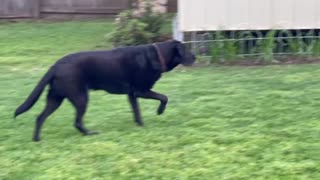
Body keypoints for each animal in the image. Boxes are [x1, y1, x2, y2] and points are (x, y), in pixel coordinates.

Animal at [14, 40, 195, 141]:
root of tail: (55, 66)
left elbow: (137, 112)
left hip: (55, 98)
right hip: (80, 97)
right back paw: (90, 134)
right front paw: (159, 112)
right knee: (77, 121)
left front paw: (141, 125)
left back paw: (37, 139)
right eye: (186, 51)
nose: (195, 57)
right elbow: (164, 97)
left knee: (40, 117)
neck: (158, 55)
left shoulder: (132, 95)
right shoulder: (141, 91)